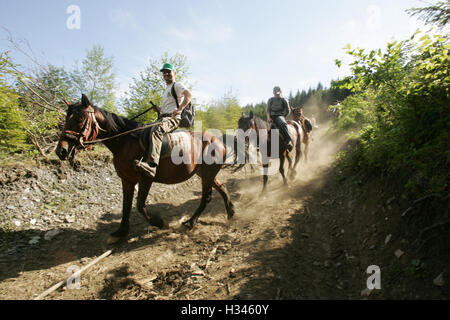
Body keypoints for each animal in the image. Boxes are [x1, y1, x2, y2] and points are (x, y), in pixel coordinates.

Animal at [57, 94, 236, 244]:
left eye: (80, 119)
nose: (61, 151)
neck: (125, 142)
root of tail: (219, 141)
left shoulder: (146, 177)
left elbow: (139, 205)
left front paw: (159, 222)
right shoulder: (127, 180)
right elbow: (126, 205)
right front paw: (121, 231)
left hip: (207, 174)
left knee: (206, 197)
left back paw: (191, 222)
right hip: (204, 173)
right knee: (221, 187)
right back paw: (230, 212)